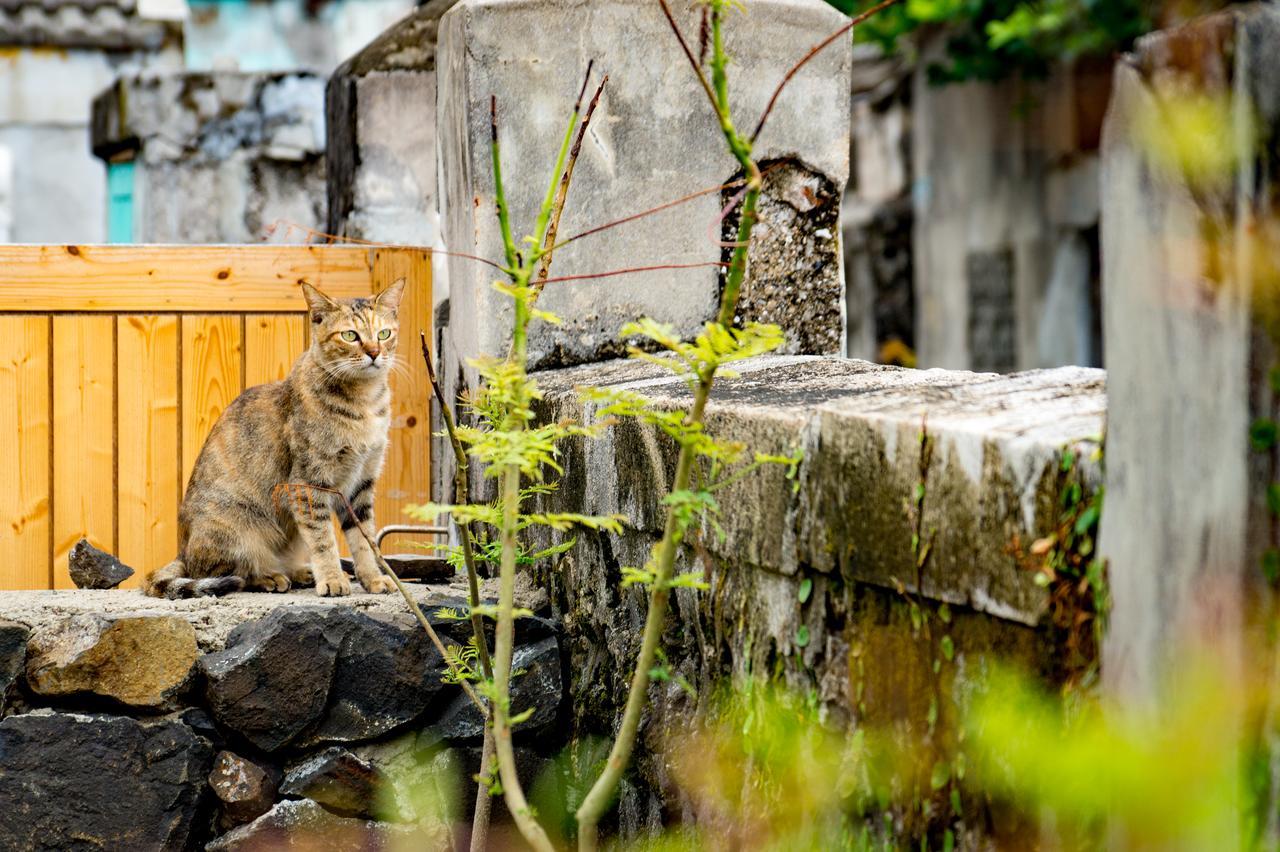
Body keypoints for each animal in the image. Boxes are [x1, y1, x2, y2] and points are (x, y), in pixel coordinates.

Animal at [140, 278, 401, 596]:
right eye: (350, 335)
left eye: (384, 333)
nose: (374, 352)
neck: (364, 403)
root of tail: (182, 552)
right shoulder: (308, 483)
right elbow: (323, 540)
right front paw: (332, 579)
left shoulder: (361, 482)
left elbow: (365, 540)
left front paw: (373, 578)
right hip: (240, 529)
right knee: (231, 573)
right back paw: (270, 577)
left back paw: (300, 572)